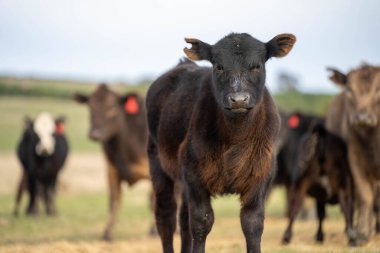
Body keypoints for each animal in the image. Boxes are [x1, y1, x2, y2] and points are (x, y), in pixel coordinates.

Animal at [72, 84, 150, 240]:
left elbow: (154, 199)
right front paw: (108, 232)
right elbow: (114, 200)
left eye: (113, 107)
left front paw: (155, 231)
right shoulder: (111, 170)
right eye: (90, 106)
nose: (94, 134)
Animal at [145, 33, 296, 253]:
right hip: (158, 164)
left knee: (182, 220)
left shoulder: (261, 176)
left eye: (257, 65)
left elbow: (252, 224)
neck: (235, 138)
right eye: (218, 66)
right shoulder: (195, 176)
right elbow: (201, 222)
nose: (239, 99)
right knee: (166, 217)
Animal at [326, 64, 380, 246]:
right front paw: (361, 234)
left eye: (379, 88)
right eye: (349, 89)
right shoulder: (355, 160)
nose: (363, 117)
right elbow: (364, 195)